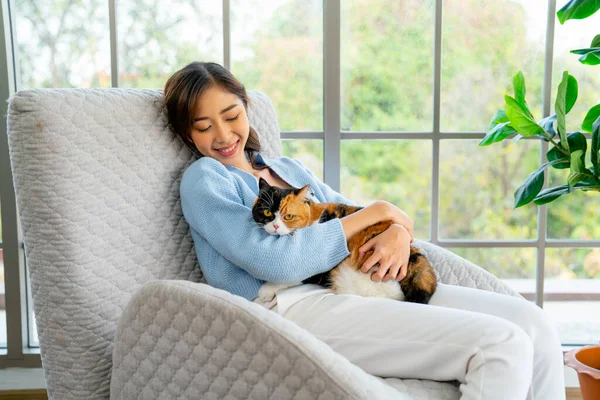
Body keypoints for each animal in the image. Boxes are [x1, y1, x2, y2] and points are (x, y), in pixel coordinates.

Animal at [251, 177, 438, 304]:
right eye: (267, 212)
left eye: (288, 216)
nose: (275, 226)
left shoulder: (319, 264)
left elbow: (295, 275)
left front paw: (266, 290)